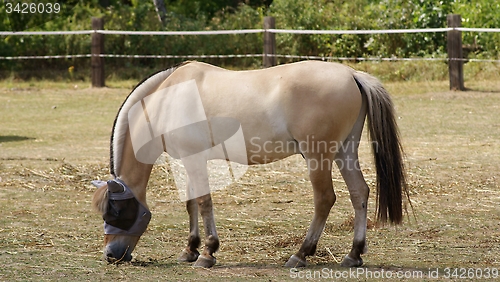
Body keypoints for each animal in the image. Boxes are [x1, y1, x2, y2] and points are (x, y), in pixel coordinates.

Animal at [92, 60, 408, 268]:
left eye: (115, 210)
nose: (111, 255)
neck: (167, 99)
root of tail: (352, 74)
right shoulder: (190, 160)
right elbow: (192, 203)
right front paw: (190, 249)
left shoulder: (194, 160)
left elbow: (204, 203)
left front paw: (208, 253)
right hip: (344, 152)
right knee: (359, 193)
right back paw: (354, 255)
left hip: (318, 157)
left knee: (325, 199)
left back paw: (300, 254)